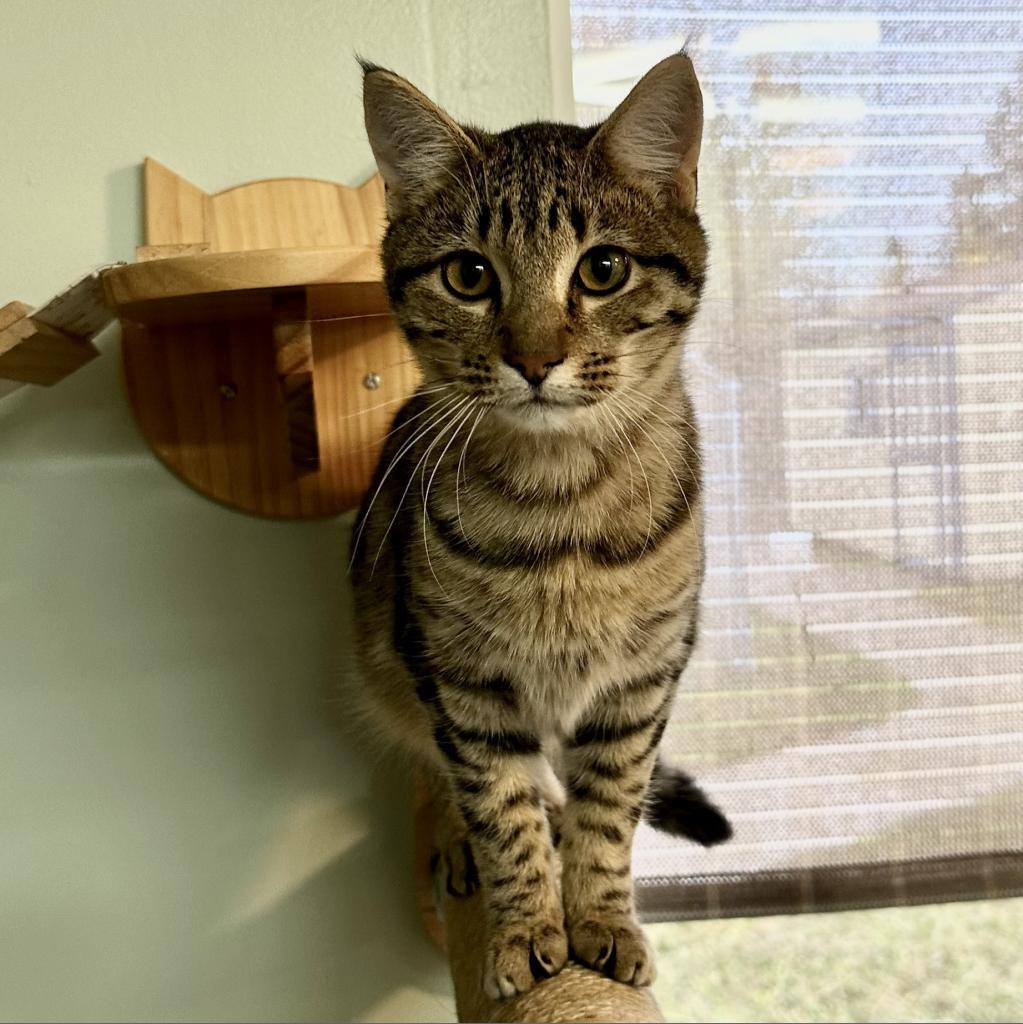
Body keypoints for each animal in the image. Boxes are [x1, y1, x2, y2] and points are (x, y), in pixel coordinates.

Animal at [352, 54, 729, 999]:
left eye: (602, 269)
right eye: (468, 275)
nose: (532, 359)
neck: (561, 511)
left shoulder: (639, 684)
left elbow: (609, 814)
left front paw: (601, 920)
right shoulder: (461, 683)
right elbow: (500, 809)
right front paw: (524, 927)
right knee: (440, 768)